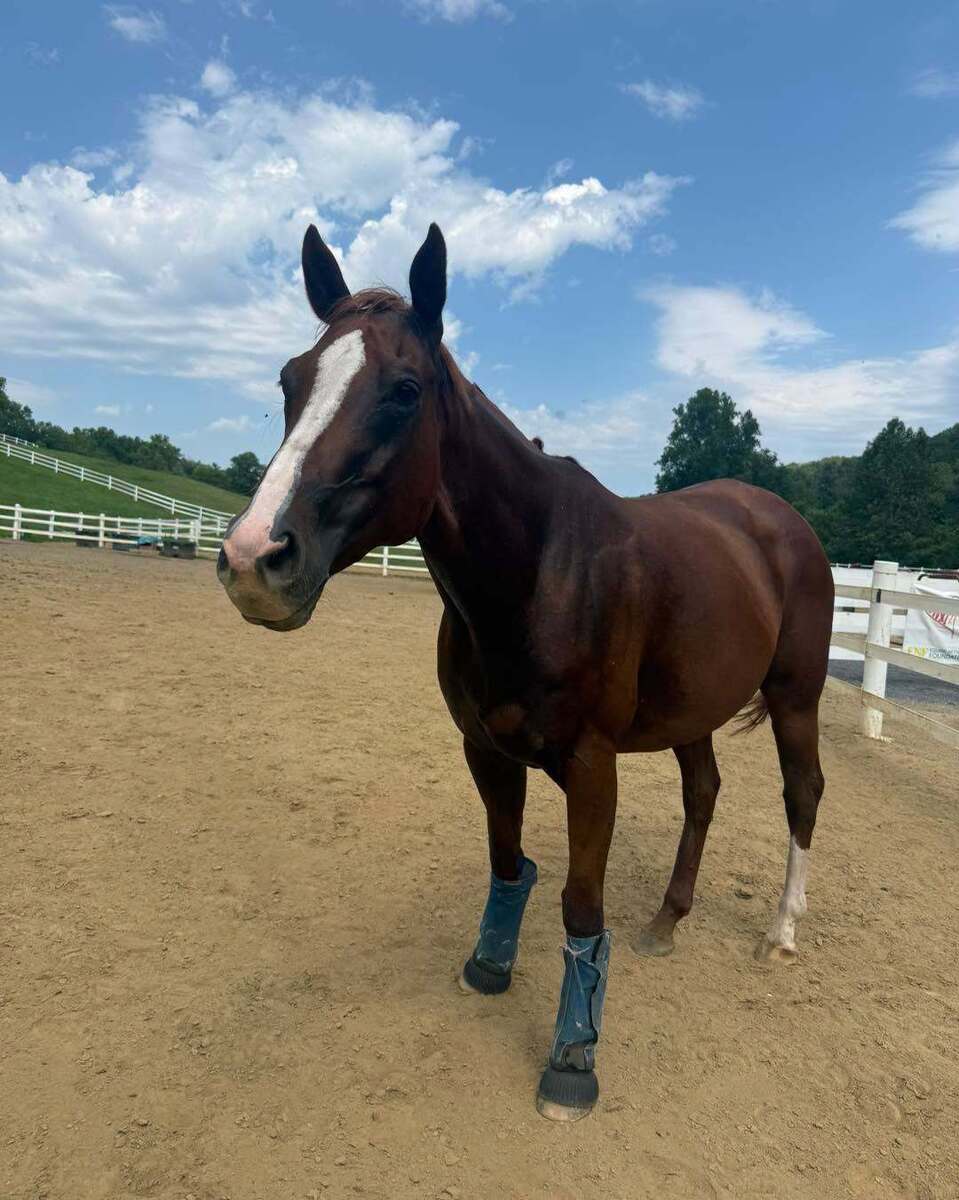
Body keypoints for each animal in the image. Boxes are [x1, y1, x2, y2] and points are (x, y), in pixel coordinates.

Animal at [217, 222, 834, 1122]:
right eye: (291, 380)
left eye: (404, 390)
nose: (253, 558)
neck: (538, 570)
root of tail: (779, 519)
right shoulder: (485, 749)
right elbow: (509, 867)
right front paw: (489, 966)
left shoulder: (591, 765)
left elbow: (579, 903)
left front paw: (572, 1060)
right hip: (693, 711)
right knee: (703, 793)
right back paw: (667, 921)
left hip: (794, 697)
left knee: (801, 794)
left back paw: (782, 932)